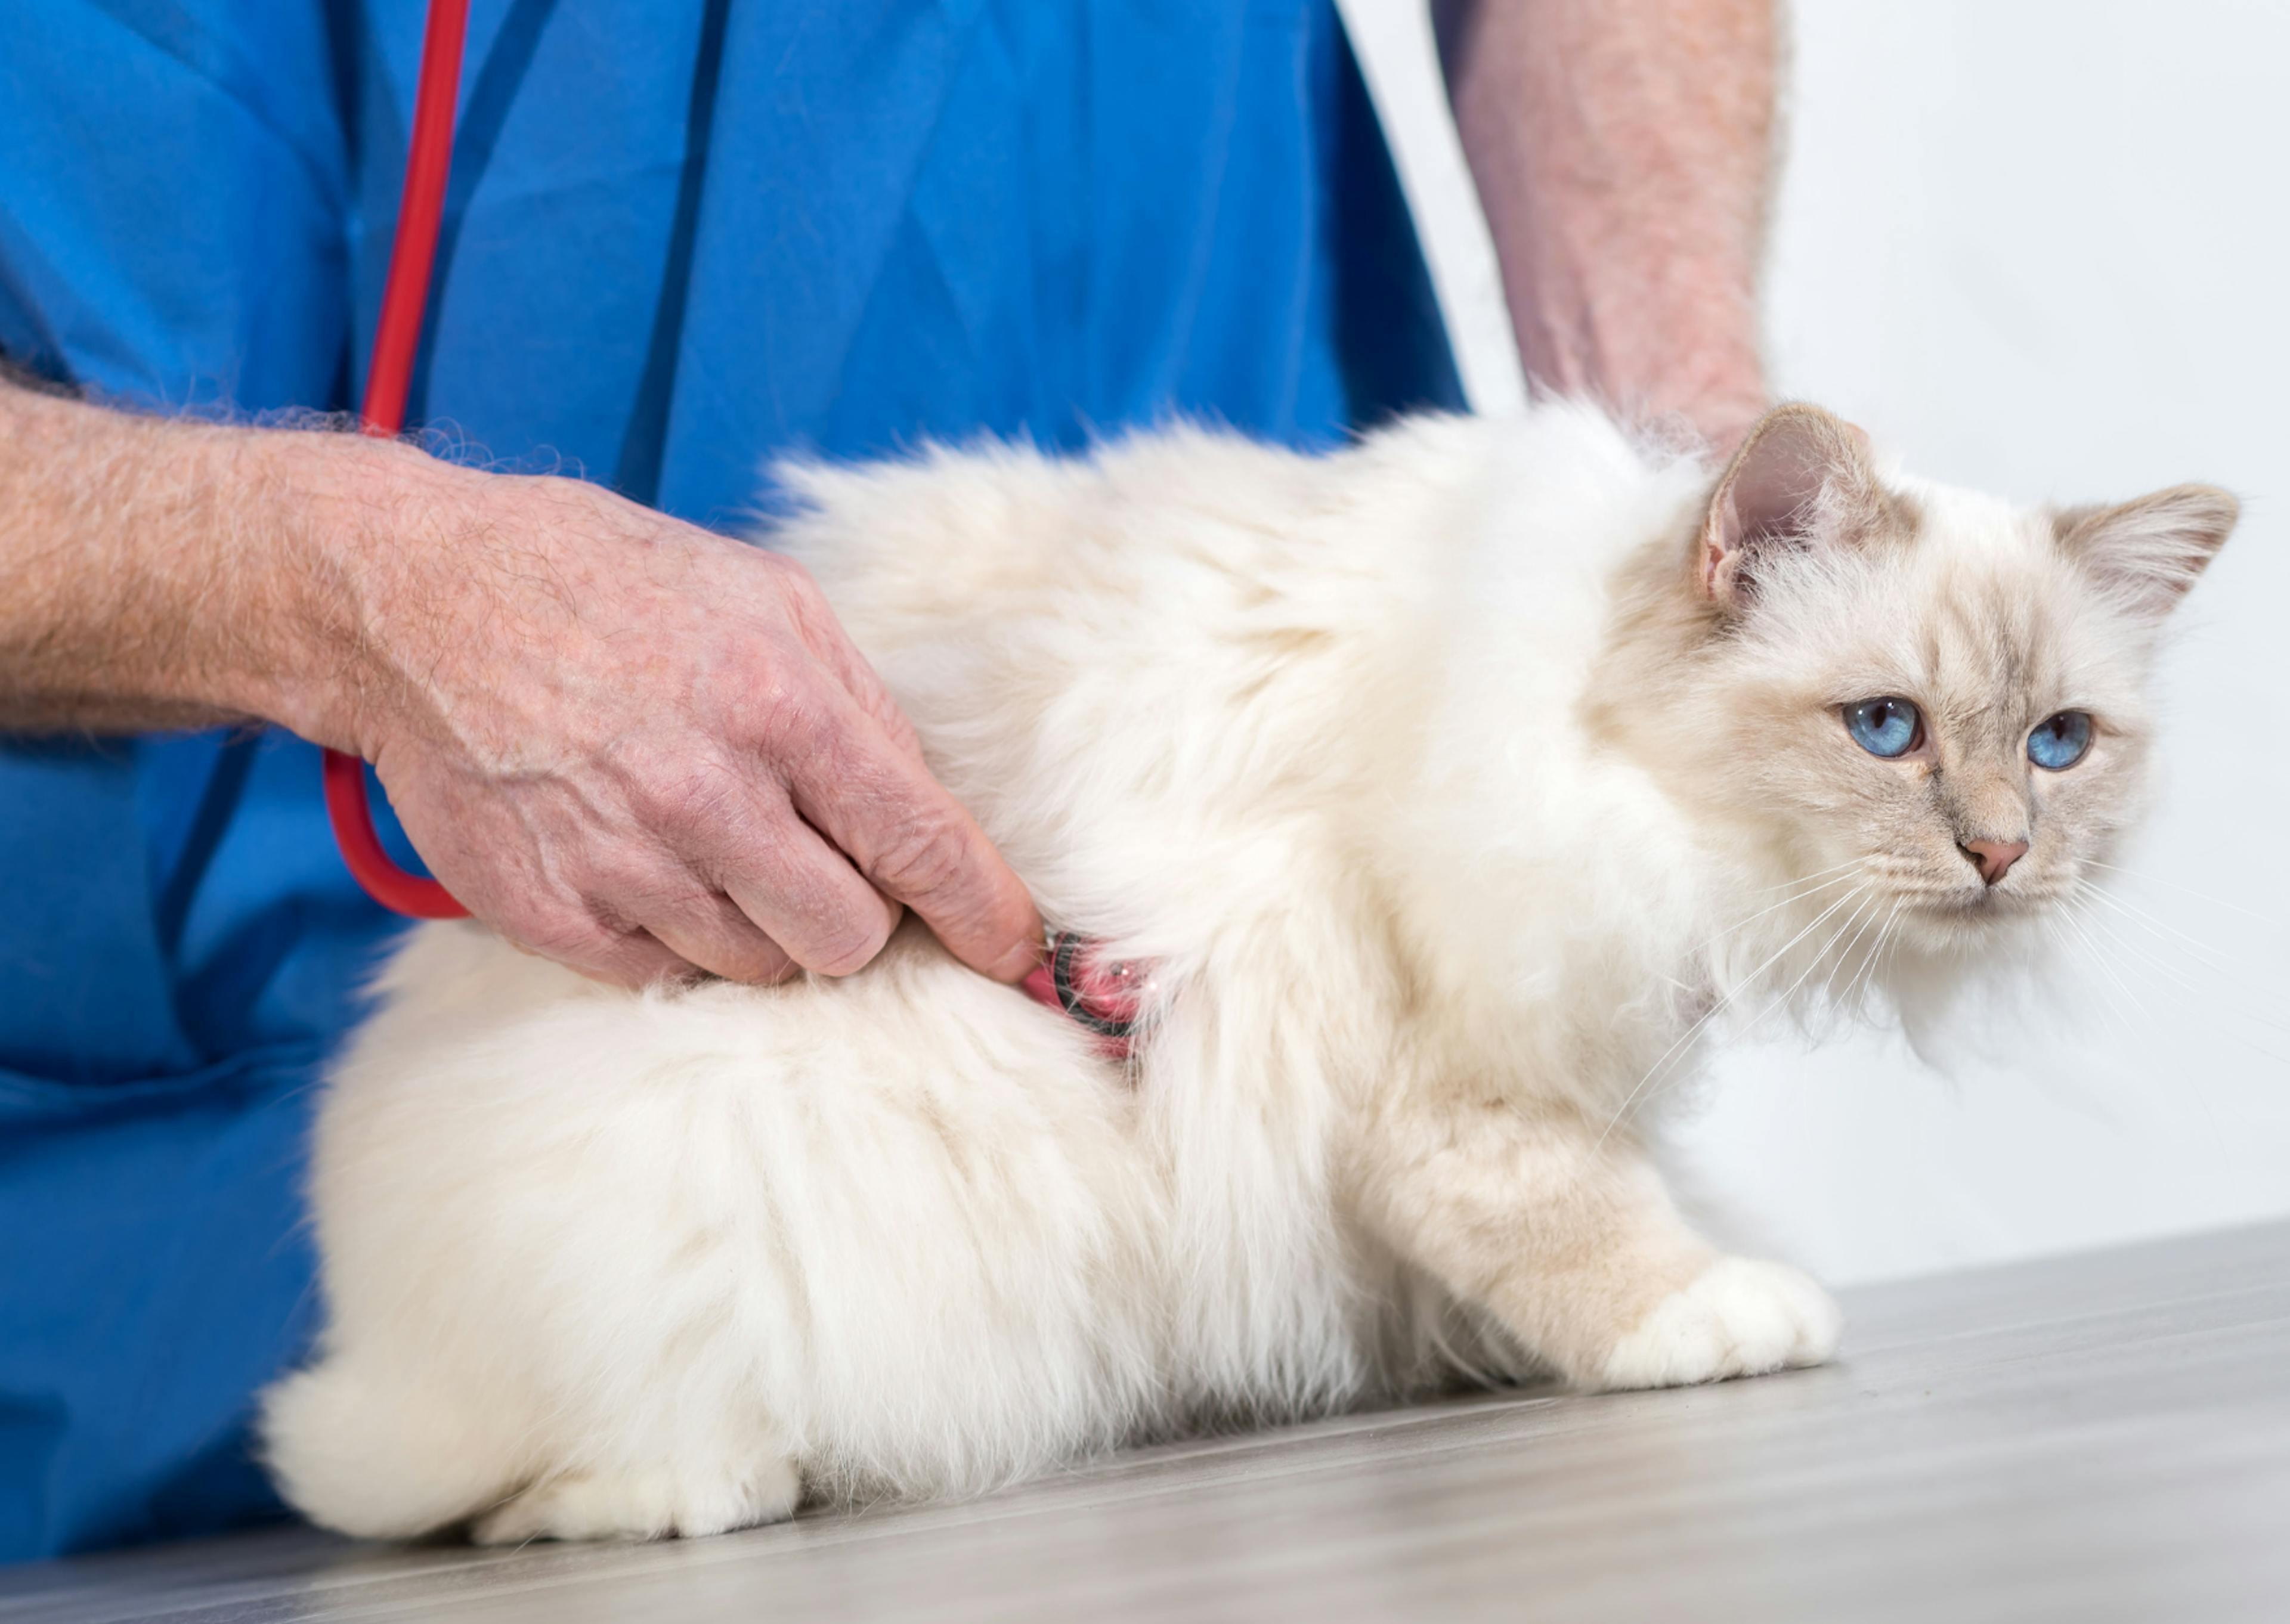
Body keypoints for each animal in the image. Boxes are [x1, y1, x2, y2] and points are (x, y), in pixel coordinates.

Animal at [255, 398, 2235, 1539]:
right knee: (514, 1495)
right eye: (1886, 728)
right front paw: (1710, 1319)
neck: (1574, 709)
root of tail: (368, 1337)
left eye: (2057, 745)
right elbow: (1585, 1219)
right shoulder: (1452, 1074)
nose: (1999, 852)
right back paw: (705, 1483)